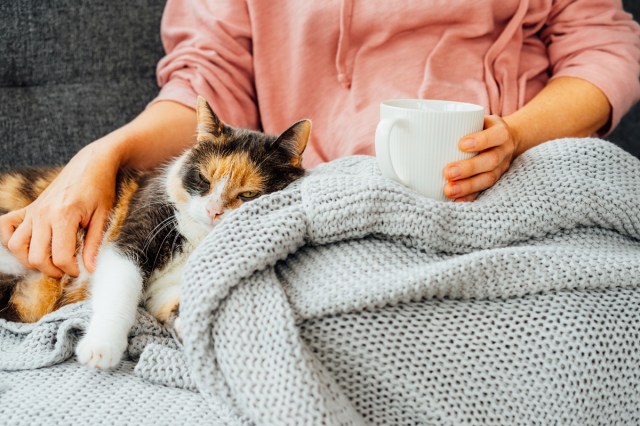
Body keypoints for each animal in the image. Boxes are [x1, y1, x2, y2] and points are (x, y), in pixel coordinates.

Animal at [0, 95, 310, 368]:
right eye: (203, 178)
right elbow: (118, 292)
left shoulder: (164, 289)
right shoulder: (132, 236)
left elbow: (176, 300)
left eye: (248, 194)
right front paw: (101, 348)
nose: (214, 211)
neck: (197, 238)